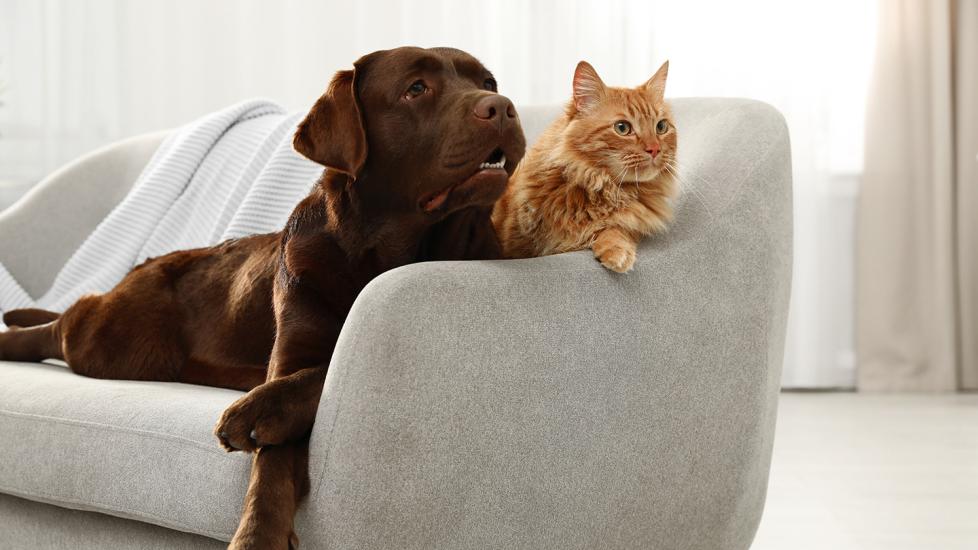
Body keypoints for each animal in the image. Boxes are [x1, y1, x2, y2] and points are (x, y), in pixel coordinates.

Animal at [492, 62, 676, 274]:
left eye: (661, 127)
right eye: (622, 128)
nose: (655, 149)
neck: (601, 186)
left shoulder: (629, 223)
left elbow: (616, 229)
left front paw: (616, 251)